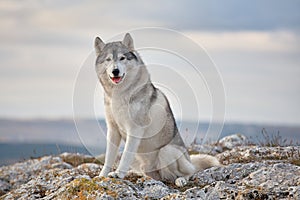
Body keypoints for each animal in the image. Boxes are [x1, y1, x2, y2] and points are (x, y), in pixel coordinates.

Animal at [92, 32, 219, 186]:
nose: (115, 71)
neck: (119, 94)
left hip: (166, 151)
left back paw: (181, 180)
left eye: (122, 58)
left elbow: (125, 156)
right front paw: (102, 176)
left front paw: (118, 174)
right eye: (108, 59)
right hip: (144, 164)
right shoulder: (113, 130)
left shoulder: (134, 130)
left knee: (188, 173)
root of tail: (189, 159)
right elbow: (108, 159)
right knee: (158, 176)